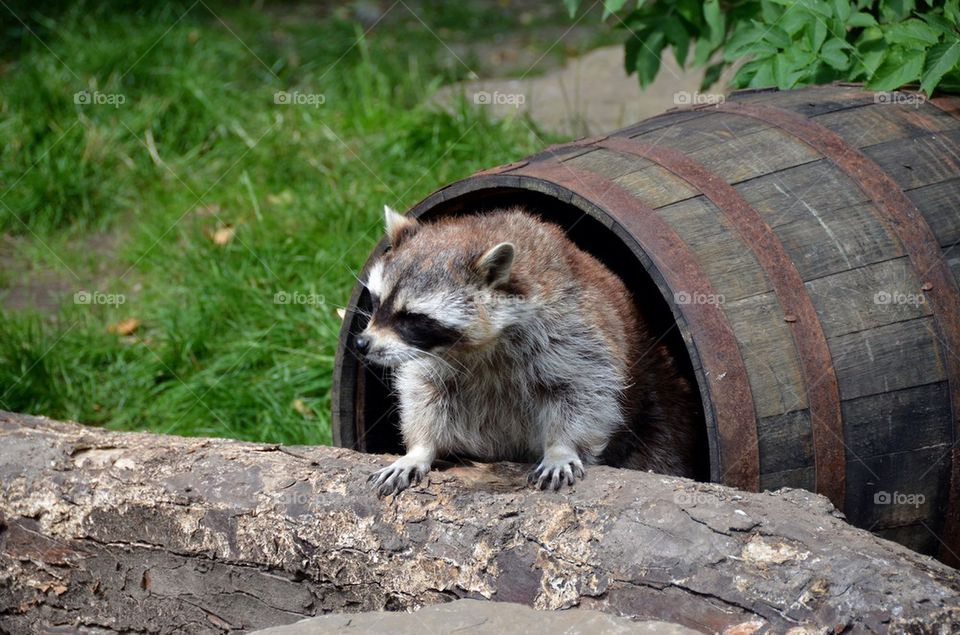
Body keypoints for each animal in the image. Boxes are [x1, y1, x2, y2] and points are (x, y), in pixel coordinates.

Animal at [359, 205, 699, 496]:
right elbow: (425, 394)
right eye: (377, 302)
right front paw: (419, 449)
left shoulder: (572, 332)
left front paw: (561, 446)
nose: (363, 344)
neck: (480, 347)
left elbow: (584, 390)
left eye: (412, 318)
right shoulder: (433, 357)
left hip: (661, 403)